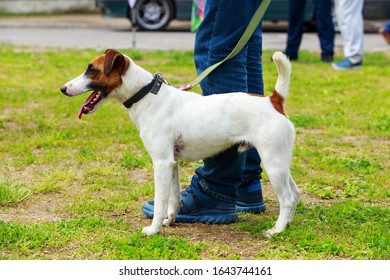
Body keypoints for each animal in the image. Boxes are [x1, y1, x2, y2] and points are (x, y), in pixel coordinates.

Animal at [61, 49, 300, 237]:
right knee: (295, 193)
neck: (146, 95)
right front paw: (170, 221)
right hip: (280, 162)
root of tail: (274, 100)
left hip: (272, 163)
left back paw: (277, 230)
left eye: (91, 70)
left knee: (287, 198)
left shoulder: (161, 162)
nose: (63, 89)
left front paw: (154, 229)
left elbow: (160, 202)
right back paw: (286, 224)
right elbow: (173, 199)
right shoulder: (172, 163)